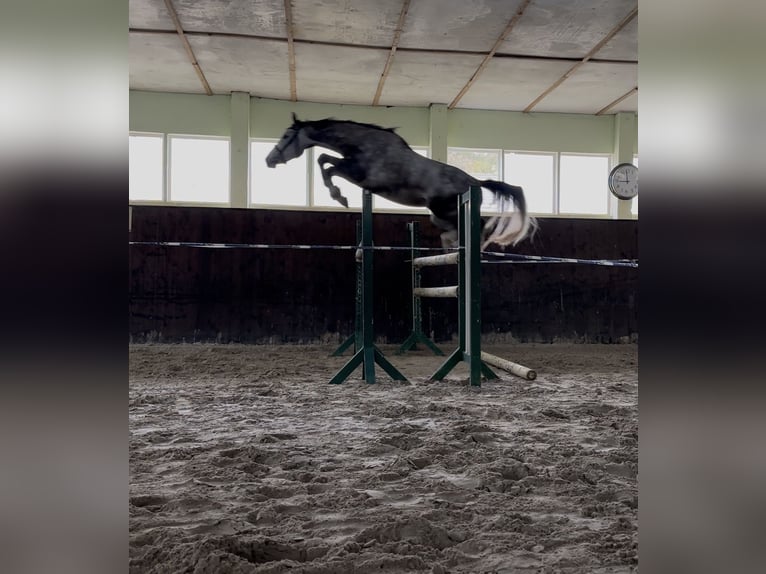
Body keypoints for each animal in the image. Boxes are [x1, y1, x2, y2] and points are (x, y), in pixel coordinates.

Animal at [265, 114, 536, 248]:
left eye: (287, 136)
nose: (269, 160)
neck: (363, 144)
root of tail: (474, 181)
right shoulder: (351, 167)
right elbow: (325, 160)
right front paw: (339, 196)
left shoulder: (358, 174)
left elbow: (327, 164)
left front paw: (339, 197)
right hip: (438, 214)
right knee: (453, 230)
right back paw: (452, 246)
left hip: (445, 208)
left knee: (477, 225)